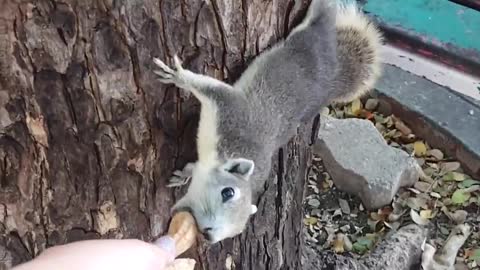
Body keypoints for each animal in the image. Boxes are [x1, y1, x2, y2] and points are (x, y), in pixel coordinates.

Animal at [154, 0, 382, 244]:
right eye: (228, 192)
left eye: (239, 228)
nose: (209, 235)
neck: (221, 156)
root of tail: (334, 72)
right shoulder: (231, 111)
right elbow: (209, 88)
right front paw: (178, 76)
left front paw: (185, 174)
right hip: (307, 43)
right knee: (319, 19)